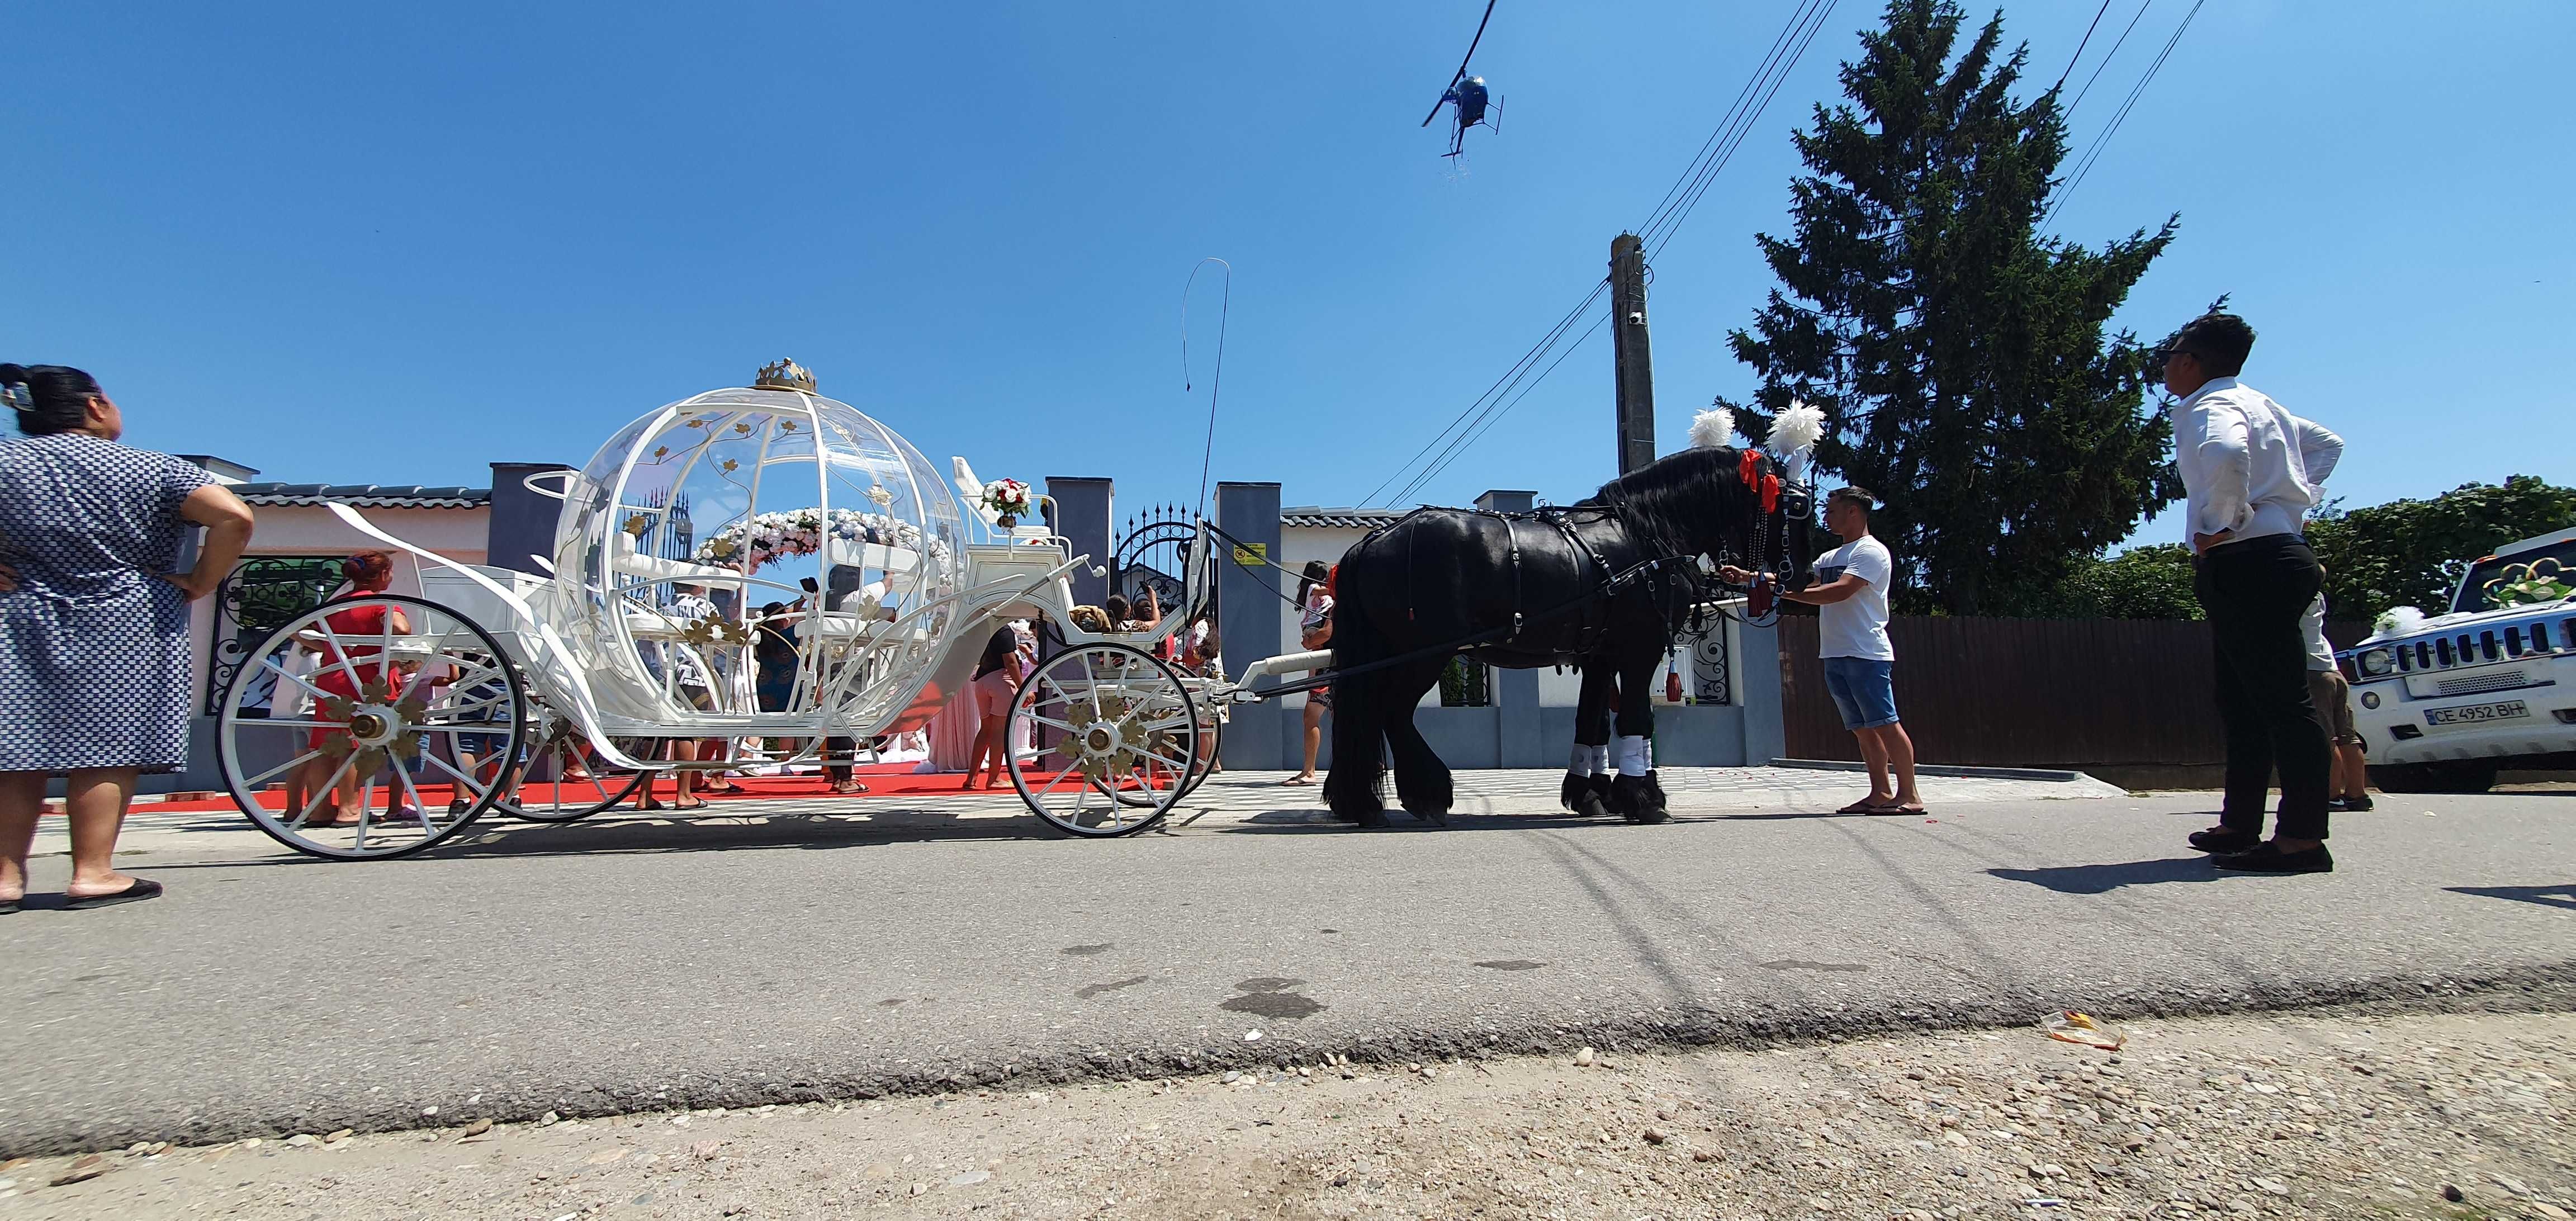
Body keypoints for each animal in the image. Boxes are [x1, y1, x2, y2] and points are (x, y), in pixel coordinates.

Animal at [1329, 443, 1793, 824]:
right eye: (1792, 502)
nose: (1790, 574)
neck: (1647, 533)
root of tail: (1373, 540)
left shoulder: (1599, 656)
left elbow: (1592, 723)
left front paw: (1593, 794)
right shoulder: (1640, 648)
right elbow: (1636, 719)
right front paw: (1644, 798)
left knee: (1370, 715)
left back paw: (1363, 803)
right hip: (1425, 653)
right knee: (1392, 713)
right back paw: (1427, 793)